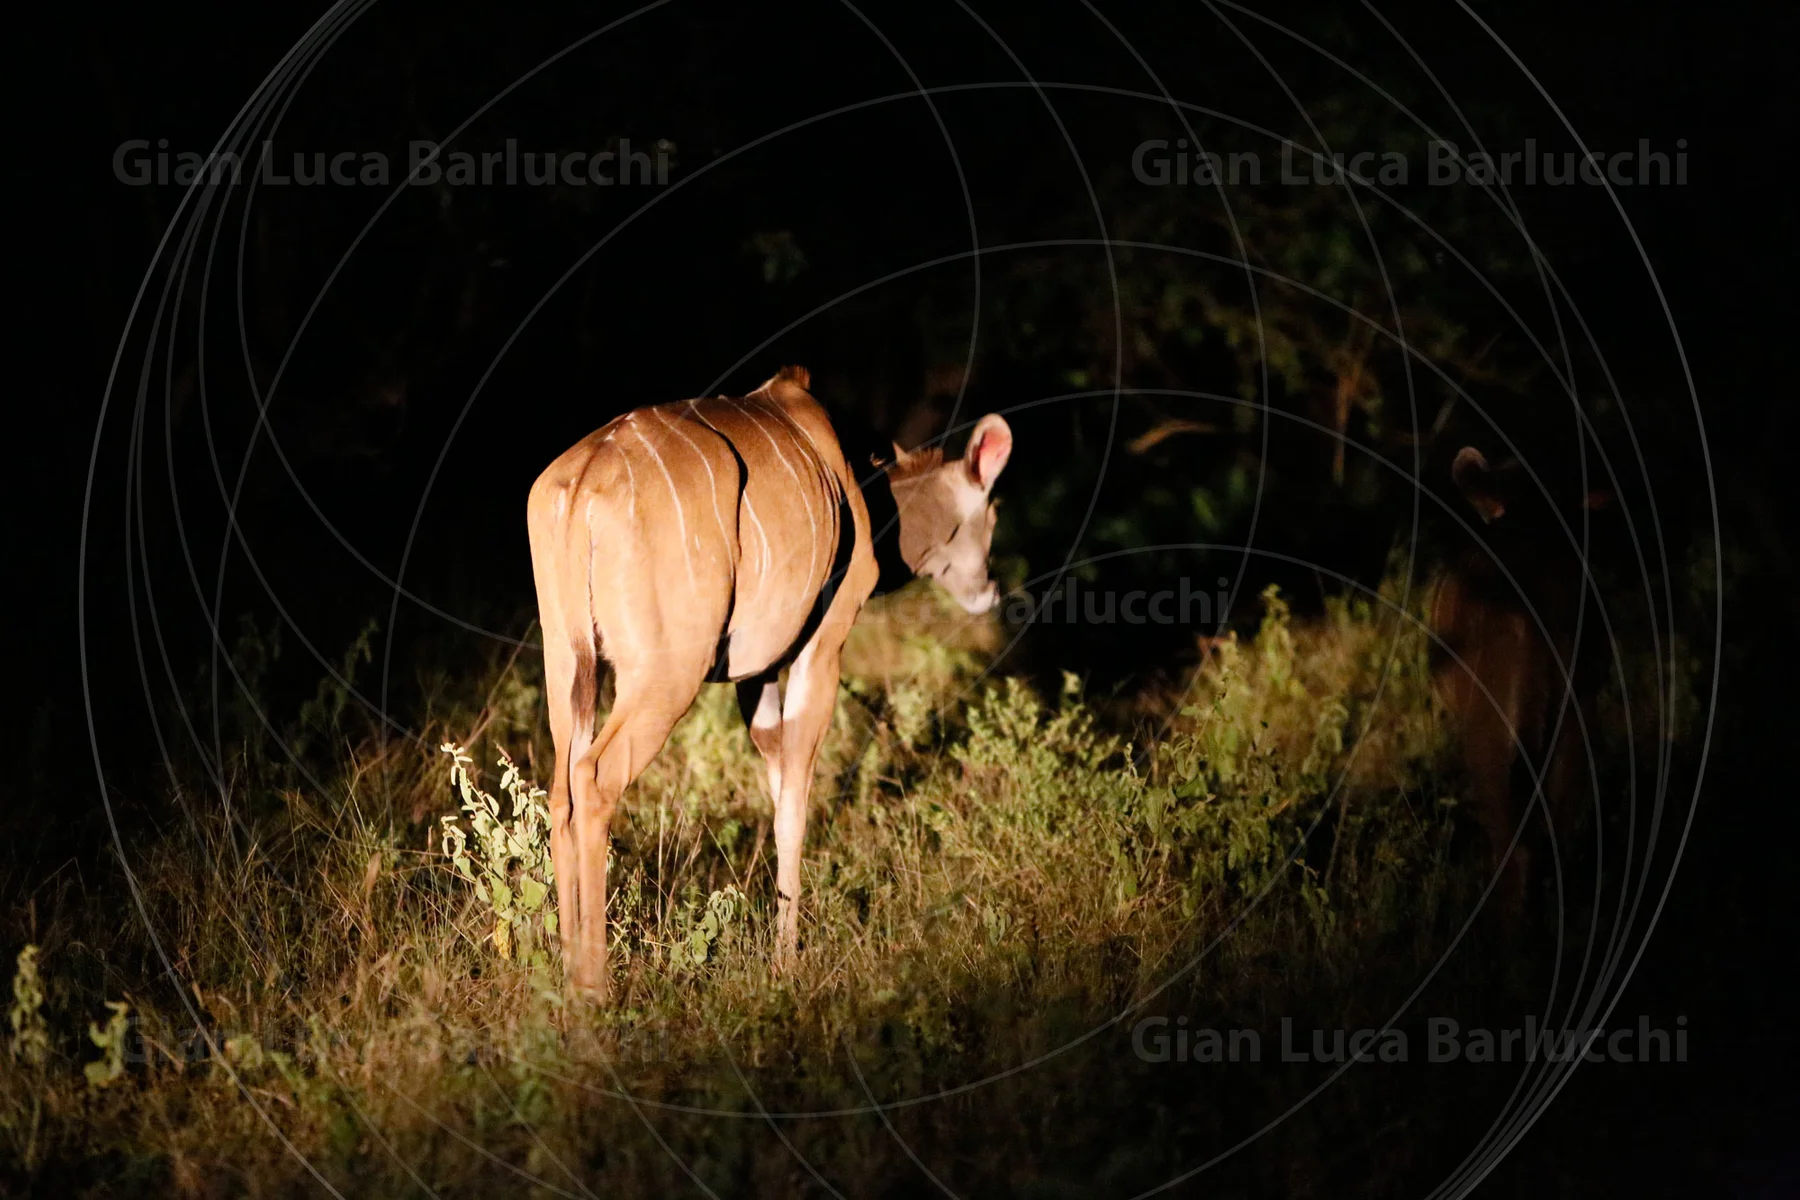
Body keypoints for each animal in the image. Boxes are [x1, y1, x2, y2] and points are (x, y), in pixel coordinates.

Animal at [527, 365, 1013, 997]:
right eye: (991, 515)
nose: (990, 592)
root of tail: (583, 488)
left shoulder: (753, 673)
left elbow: (776, 774)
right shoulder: (821, 643)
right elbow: (794, 802)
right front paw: (786, 962)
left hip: (568, 663)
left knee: (561, 789)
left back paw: (565, 977)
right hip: (665, 675)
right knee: (594, 777)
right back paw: (593, 988)